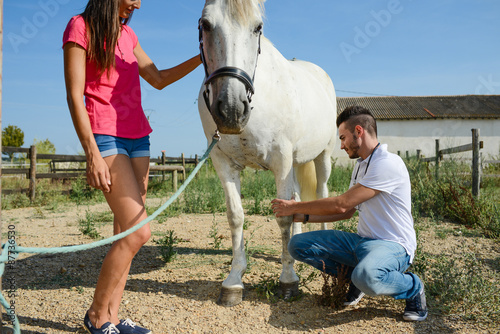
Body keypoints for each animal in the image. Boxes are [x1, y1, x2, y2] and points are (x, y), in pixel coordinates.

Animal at [196, 0, 336, 306]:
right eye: (205, 24)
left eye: (257, 27)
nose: (231, 109)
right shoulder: (223, 162)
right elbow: (236, 216)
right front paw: (234, 281)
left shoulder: (281, 160)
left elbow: (282, 217)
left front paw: (288, 280)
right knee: (297, 201)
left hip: (323, 156)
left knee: (321, 193)